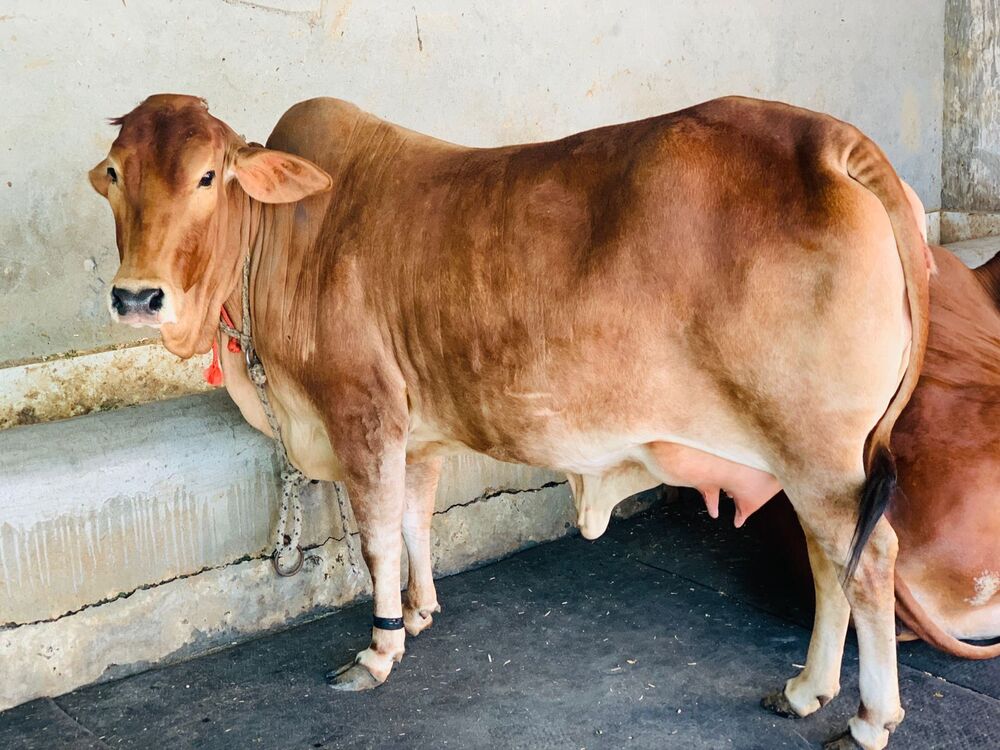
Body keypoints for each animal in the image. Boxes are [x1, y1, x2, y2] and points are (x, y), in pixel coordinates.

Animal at [89, 94, 930, 750]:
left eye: (208, 176)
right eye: (115, 174)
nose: (136, 296)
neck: (278, 240)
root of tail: (835, 142)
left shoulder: (364, 414)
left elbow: (377, 536)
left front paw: (379, 650)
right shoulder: (417, 431)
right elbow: (415, 522)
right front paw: (419, 613)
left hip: (815, 450)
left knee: (869, 560)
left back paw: (868, 717)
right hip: (805, 457)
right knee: (831, 560)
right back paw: (805, 689)